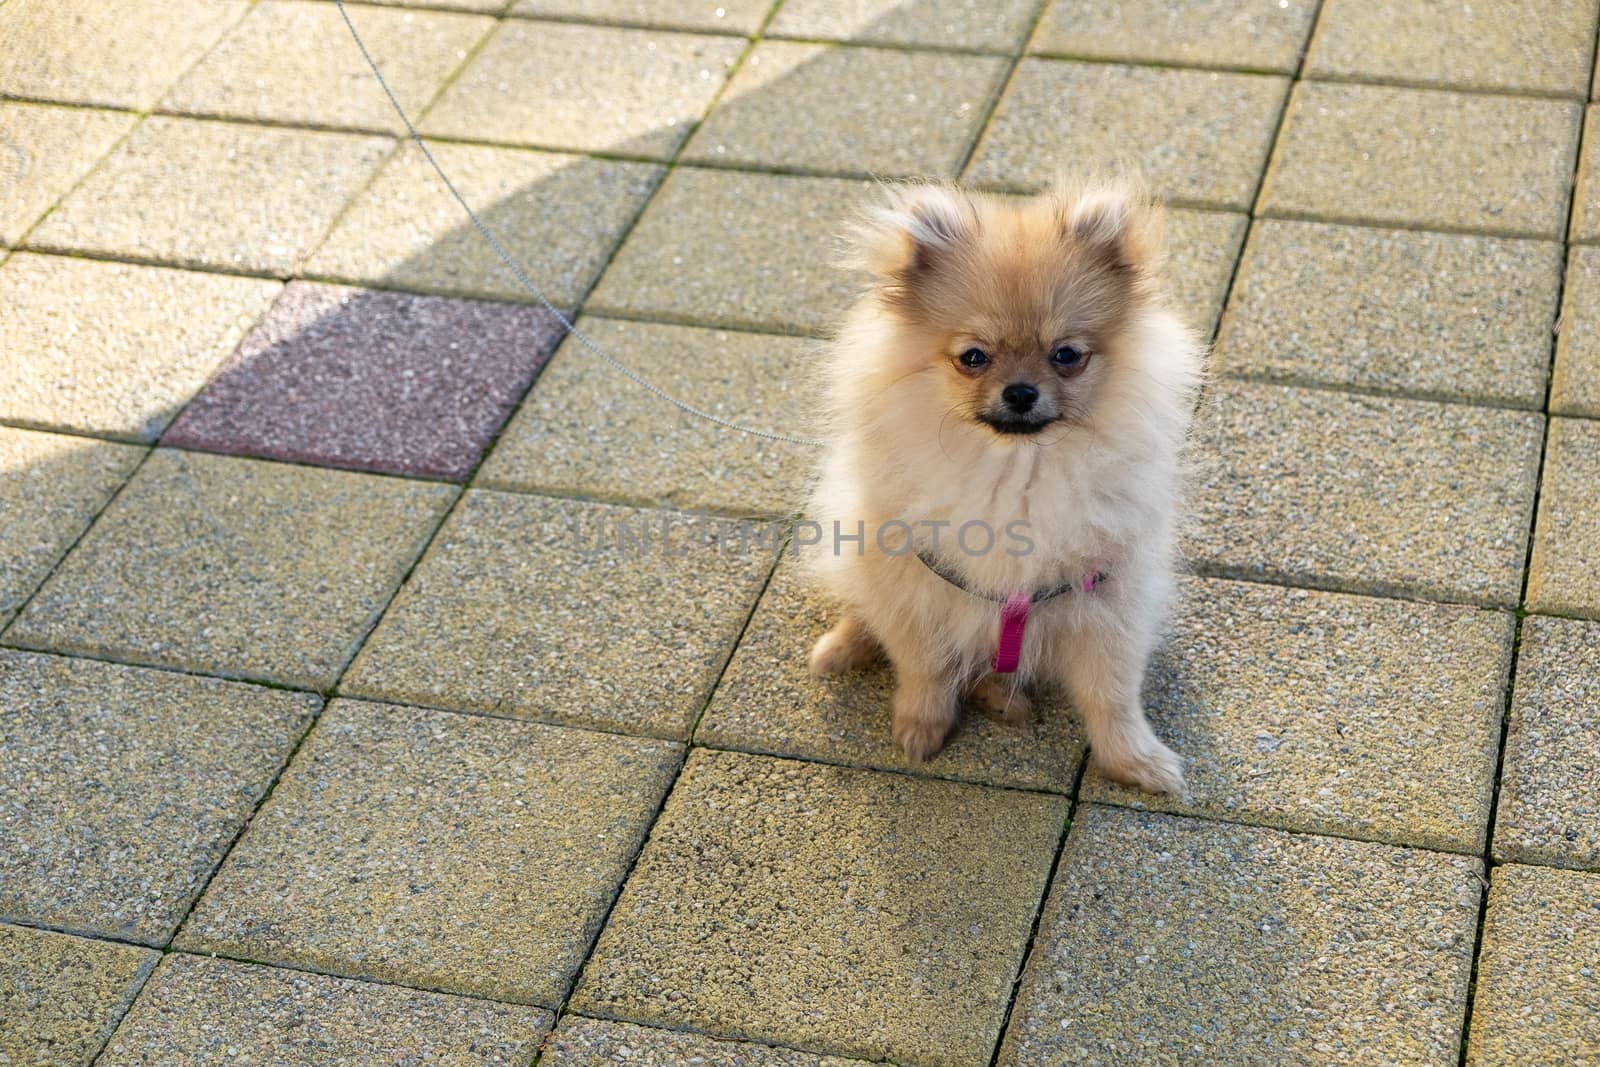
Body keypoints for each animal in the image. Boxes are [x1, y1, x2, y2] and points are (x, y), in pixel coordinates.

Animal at [812, 177, 1203, 793]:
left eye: (1066, 355)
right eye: (974, 357)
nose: (1020, 391)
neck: (1017, 473)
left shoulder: (1108, 597)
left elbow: (1112, 692)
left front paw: (1136, 761)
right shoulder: (918, 586)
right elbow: (924, 666)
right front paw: (920, 726)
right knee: (867, 605)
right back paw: (845, 644)